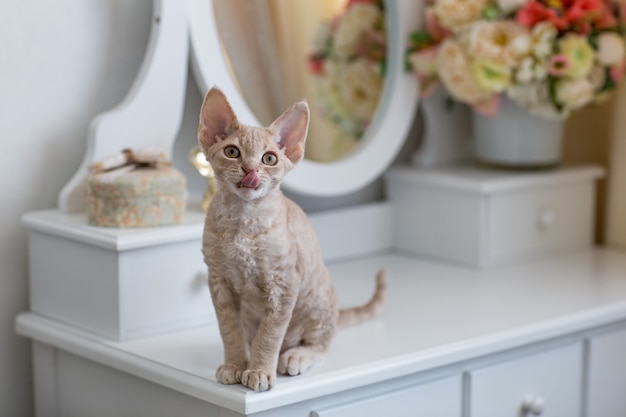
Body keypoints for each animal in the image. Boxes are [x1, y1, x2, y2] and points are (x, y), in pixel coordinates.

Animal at [200, 87, 386, 390]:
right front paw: (235, 365)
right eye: (232, 152)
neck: (243, 221)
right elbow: (229, 329)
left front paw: (260, 370)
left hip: (317, 303)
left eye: (269, 159)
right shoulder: (218, 280)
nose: (250, 170)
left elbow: (270, 334)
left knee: (319, 344)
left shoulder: (284, 283)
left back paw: (294, 356)